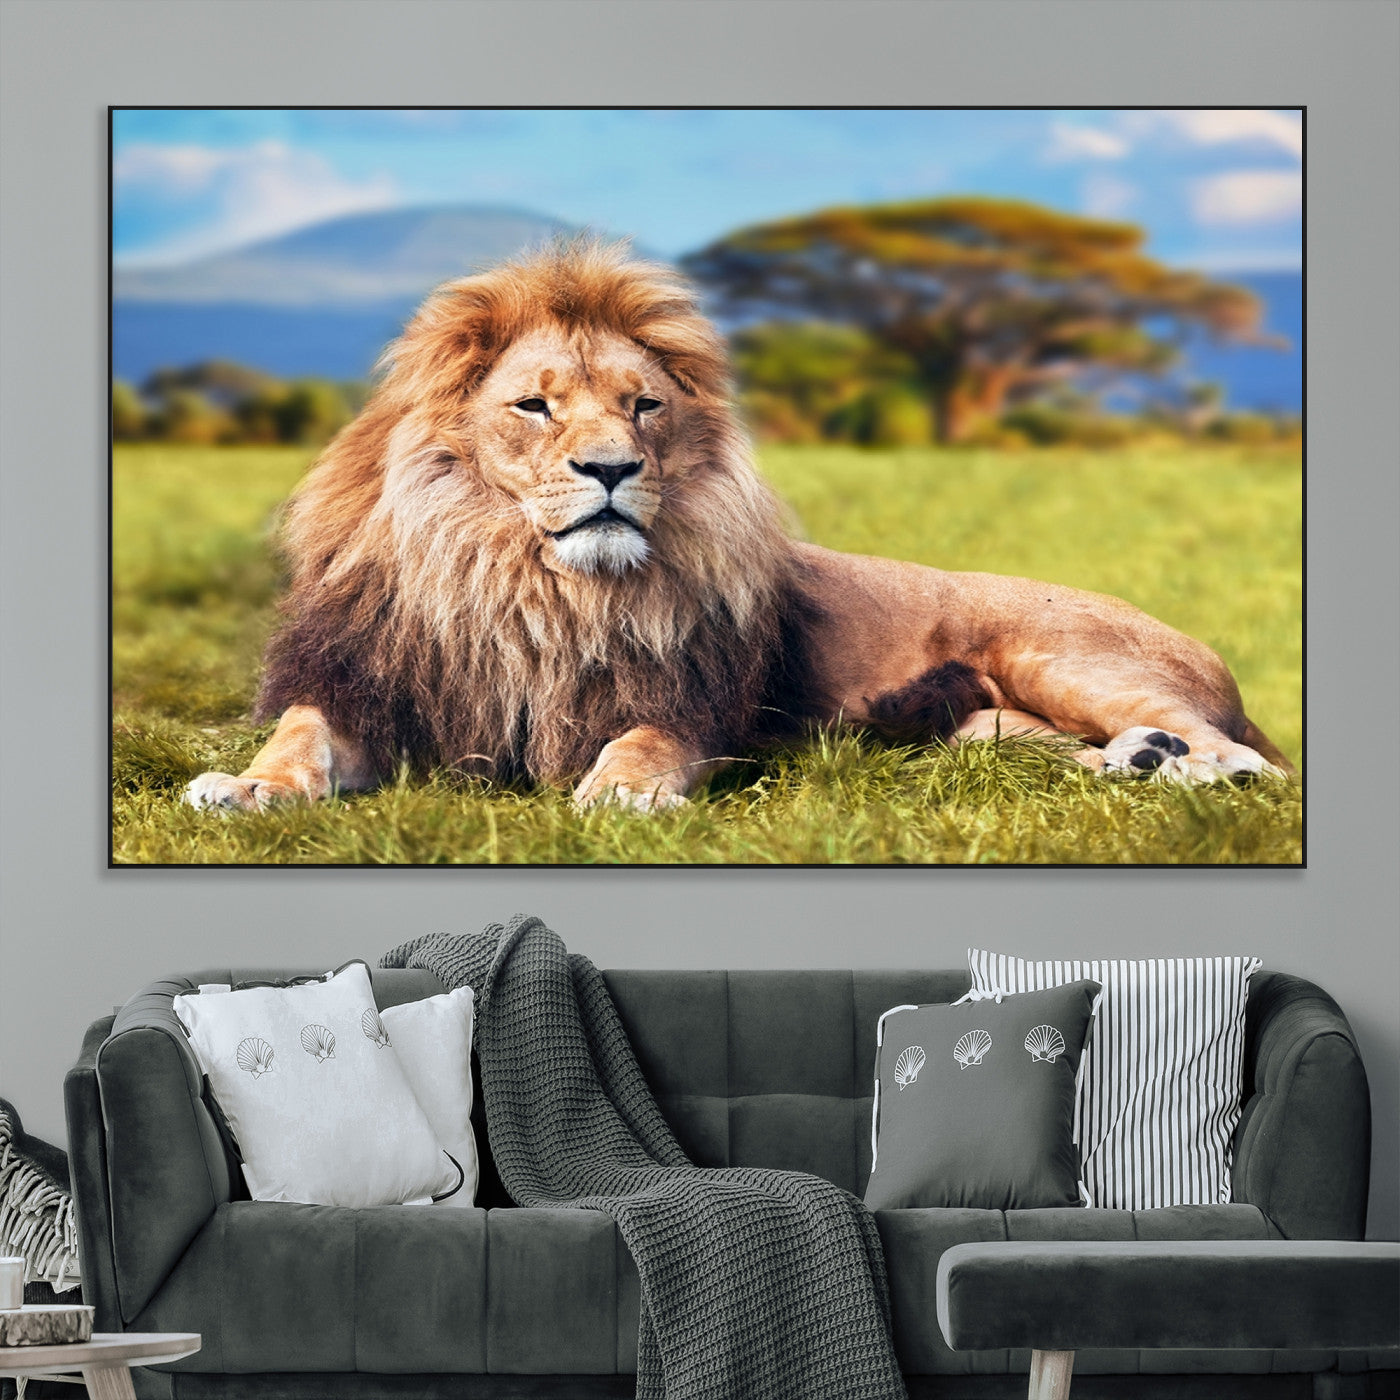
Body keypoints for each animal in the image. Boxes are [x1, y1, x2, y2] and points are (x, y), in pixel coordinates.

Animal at [185, 241, 1292, 815]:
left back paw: (1192, 766)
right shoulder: (369, 686)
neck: (525, 584)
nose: (612, 470)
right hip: (982, 728)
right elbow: (298, 738)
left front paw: (619, 796)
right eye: (534, 407)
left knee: (1248, 760)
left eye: (642, 407)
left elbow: (639, 744)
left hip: (1058, 654)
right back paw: (1134, 762)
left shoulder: (691, 707)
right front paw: (243, 786)